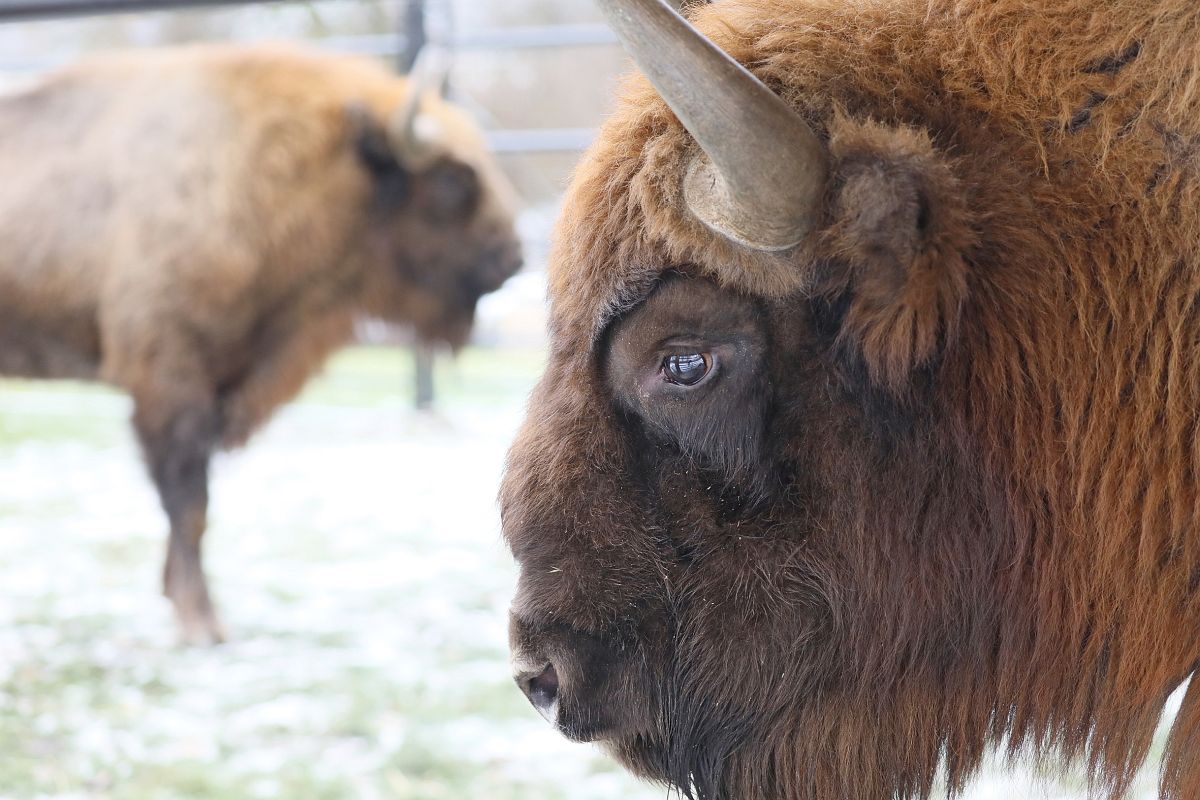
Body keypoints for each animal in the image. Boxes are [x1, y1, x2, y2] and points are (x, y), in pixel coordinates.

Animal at [1, 43, 525, 642]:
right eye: (454, 178)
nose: (512, 259)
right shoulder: (170, 378)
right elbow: (189, 505)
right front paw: (202, 625)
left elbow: (192, 506)